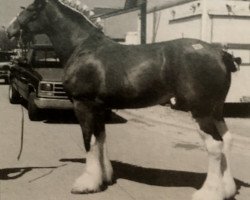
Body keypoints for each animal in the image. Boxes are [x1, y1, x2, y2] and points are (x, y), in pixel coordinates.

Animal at [6, 0, 241, 199]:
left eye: (29, 8)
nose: (9, 30)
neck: (82, 47)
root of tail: (221, 54)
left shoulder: (84, 105)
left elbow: (89, 140)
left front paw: (86, 184)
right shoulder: (100, 107)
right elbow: (101, 139)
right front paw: (104, 177)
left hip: (201, 111)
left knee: (215, 145)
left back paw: (209, 192)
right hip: (216, 110)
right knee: (227, 140)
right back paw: (227, 189)